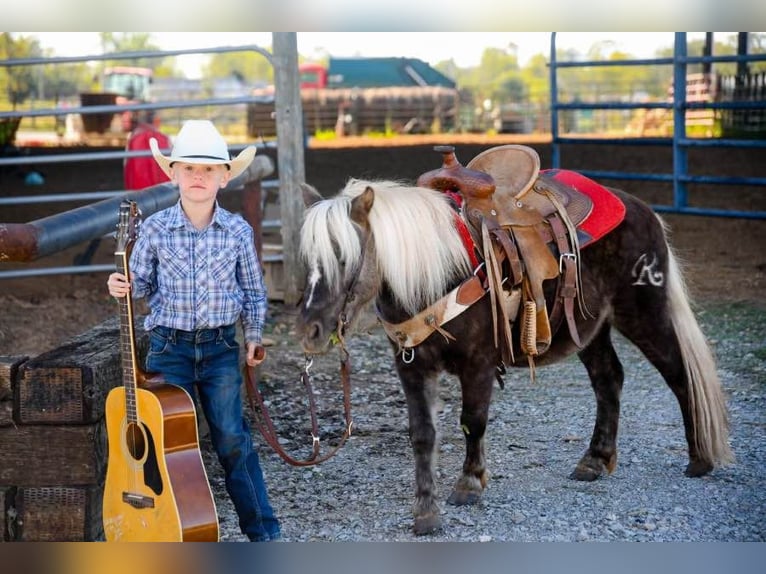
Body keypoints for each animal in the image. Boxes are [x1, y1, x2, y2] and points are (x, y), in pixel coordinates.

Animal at [294, 164, 732, 536]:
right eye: (306, 259)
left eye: (344, 257)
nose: (310, 331)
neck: (436, 272)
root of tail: (643, 209)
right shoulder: (412, 366)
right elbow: (422, 435)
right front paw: (425, 512)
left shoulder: (479, 363)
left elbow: (472, 421)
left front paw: (469, 484)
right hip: (587, 328)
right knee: (609, 379)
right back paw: (594, 458)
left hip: (643, 313)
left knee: (678, 373)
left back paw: (699, 458)